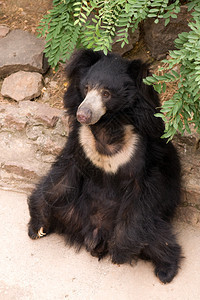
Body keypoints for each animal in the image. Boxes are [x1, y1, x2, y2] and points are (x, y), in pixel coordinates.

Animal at [27, 49, 182, 284]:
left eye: (107, 93)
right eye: (86, 88)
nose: (83, 114)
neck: (107, 126)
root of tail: (95, 237)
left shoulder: (141, 153)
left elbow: (142, 194)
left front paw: (120, 253)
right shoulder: (80, 142)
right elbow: (60, 179)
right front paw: (38, 226)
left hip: (148, 223)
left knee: (157, 238)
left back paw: (166, 270)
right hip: (71, 211)